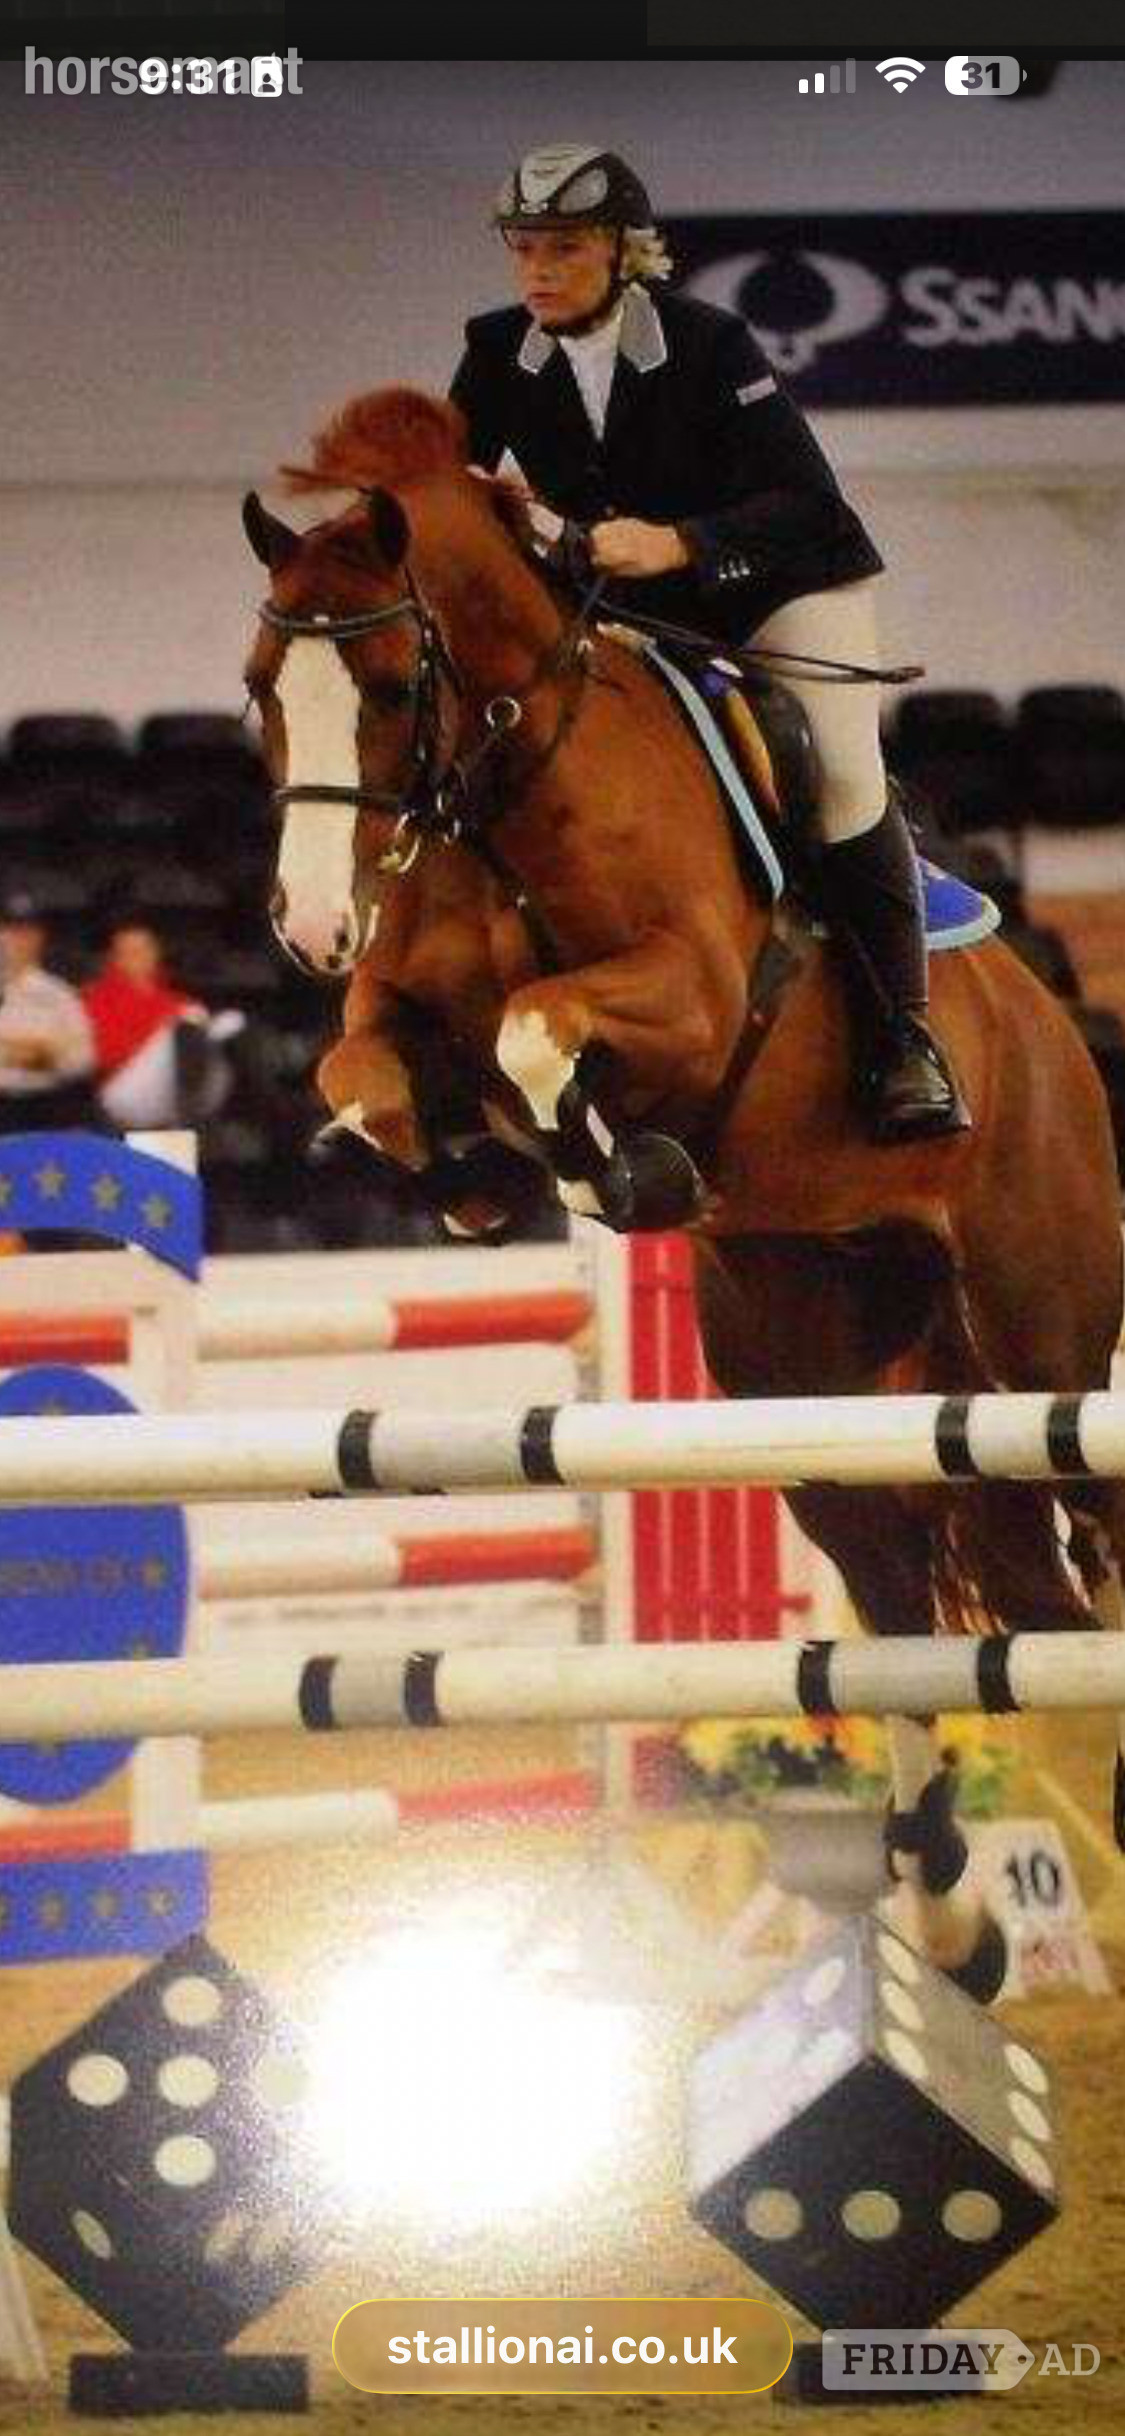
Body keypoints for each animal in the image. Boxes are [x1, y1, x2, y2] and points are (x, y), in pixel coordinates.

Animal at [241, 385, 1125, 1999]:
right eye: (263, 687)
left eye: (393, 684)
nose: (314, 927)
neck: (508, 781)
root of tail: (1051, 1025)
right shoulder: (391, 1014)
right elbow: (373, 1074)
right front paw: (484, 1175)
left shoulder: (695, 998)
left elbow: (542, 1029)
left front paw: (620, 1158)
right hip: (812, 1388)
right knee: (917, 1613)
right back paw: (954, 1925)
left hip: (1043, 1334)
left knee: (1072, 1534)